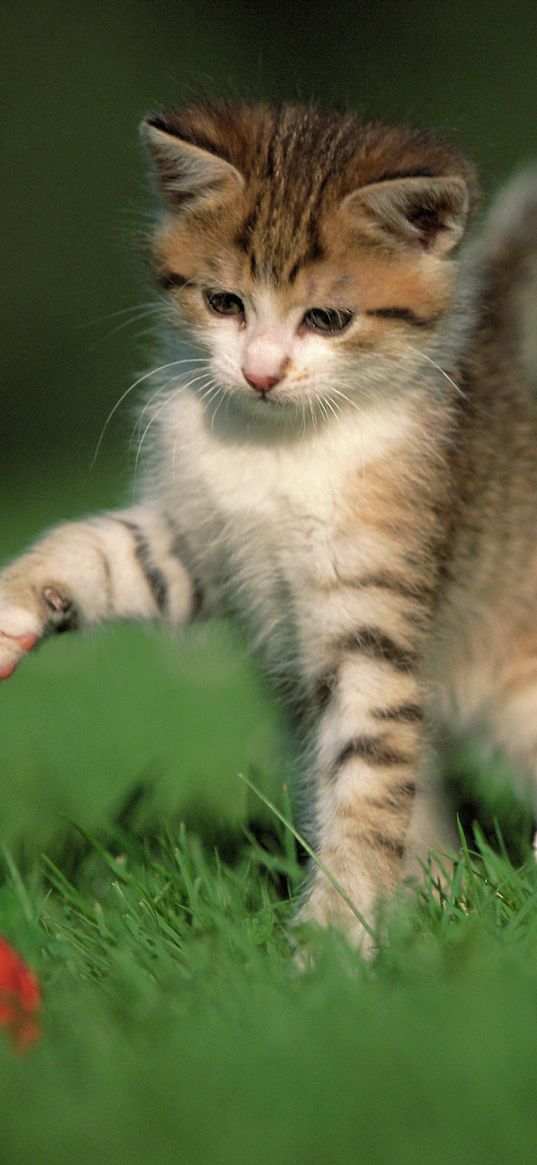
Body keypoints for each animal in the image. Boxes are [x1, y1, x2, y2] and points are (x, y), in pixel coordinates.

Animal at [1, 104, 535, 950]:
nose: (259, 371)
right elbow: (107, 550)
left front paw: (335, 939)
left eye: (328, 319)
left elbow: (365, 778)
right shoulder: (202, 548)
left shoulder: (371, 622)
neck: (276, 446)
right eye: (225, 303)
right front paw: (17, 605)